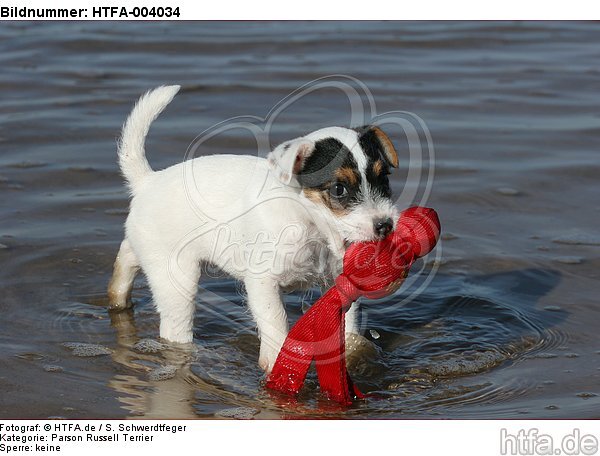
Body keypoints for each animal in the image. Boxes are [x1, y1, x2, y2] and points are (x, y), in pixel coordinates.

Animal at [109, 86, 398, 374]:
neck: (310, 224)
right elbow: (276, 321)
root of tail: (149, 181)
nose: (385, 225)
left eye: (384, 180)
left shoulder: (339, 279)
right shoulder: (262, 281)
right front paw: (276, 361)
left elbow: (348, 322)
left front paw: (351, 351)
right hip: (176, 278)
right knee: (174, 326)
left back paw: (117, 294)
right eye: (339, 189)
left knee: (126, 258)